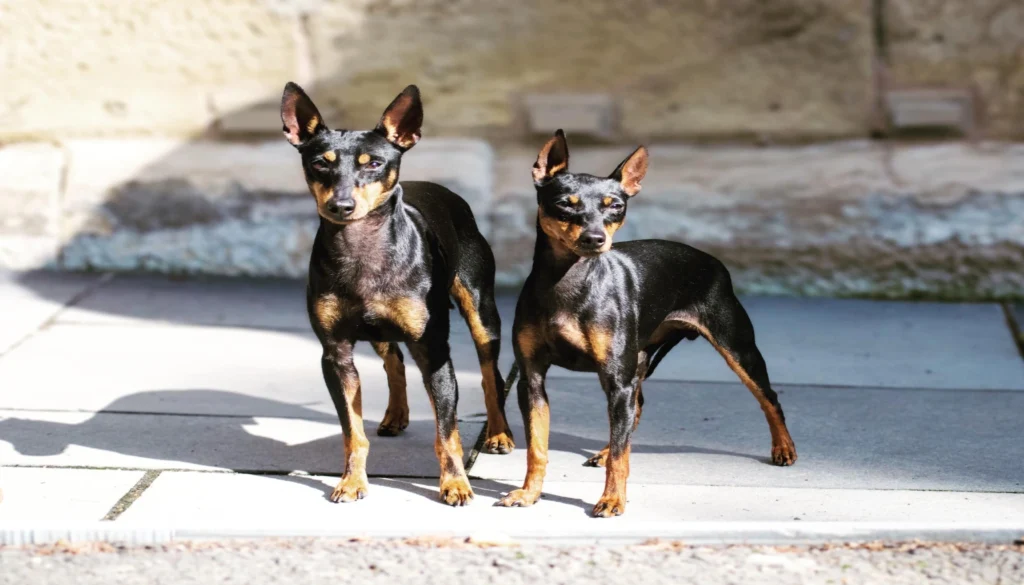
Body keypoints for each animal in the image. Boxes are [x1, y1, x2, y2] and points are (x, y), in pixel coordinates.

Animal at [280, 83, 516, 508]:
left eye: (373, 163)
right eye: (320, 164)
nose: (341, 205)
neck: (362, 250)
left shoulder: (435, 350)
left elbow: (447, 434)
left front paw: (455, 484)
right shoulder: (335, 355)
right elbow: (353, 432)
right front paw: (352, 482)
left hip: (481, 313)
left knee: (491, 375)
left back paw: (499, 434)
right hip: (379, 330)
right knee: (394, 360)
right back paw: (396, 415)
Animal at [499, 129, 794, 516]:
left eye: (615, 206)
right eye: (566, 204)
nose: (595, 238)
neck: (568, 281)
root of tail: (711, 260)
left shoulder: (616, 379)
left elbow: (621, 456)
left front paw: (612, 499)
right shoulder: (531, 379)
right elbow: (537, 446)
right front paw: (529, 493)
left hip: (735, 347)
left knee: (768, 396)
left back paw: (784, 448)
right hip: (638, 362)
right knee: (634, 410)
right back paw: (603, 450)